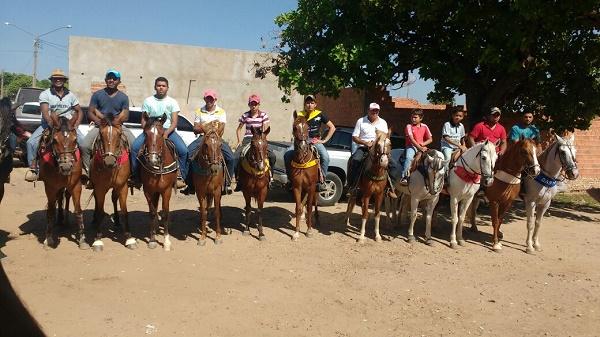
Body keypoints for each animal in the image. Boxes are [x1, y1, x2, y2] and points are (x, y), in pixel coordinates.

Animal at [38, 117, 87, 248]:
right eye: (55, 140)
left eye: (75, 139)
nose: (66, 167)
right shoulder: (50, 187)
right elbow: (50, 212)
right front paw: (48, 239)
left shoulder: (76, 185)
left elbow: (78, 210)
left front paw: (82, 239)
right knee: (59, 198)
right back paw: (59, 219)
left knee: (65, 196)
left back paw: (64, 219)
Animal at [89, 117, 132, 251]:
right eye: (101, 134)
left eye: (119, 134)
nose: (109, 161)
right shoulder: (100, 188)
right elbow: (100, 210)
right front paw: (98, 239)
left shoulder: (123, 186)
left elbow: (124, 211)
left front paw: (129, 238)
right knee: (97, 202)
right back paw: (94, 220)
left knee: (114, 199)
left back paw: (117, 222)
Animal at [138, 113, 178, 249]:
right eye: (145, 134)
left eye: (161, 134)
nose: (153, 159)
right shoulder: (148, 190)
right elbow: (152, 212)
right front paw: (152, 239)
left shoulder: (167, 190)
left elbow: (165, 213)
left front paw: (166, 241)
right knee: (155, 209)